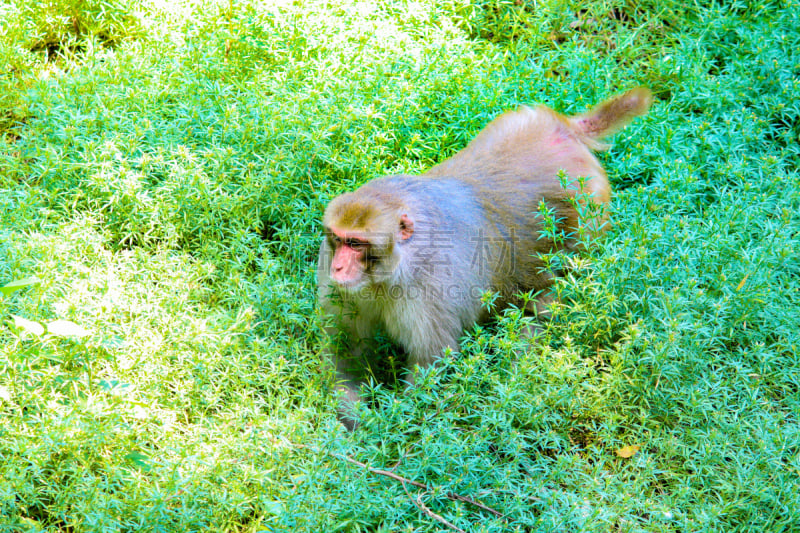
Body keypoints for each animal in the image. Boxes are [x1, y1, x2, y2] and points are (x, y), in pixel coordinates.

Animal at [316, 87, 652, 428]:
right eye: (338, 239)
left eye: (357, 243)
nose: (338, 267)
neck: (387, 276)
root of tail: (565, 129)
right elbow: (346, 351)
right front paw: (358, 422)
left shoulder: (431, 290)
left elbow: (431, 365)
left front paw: (393, 425)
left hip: (586, 216)